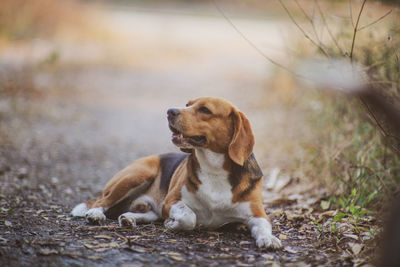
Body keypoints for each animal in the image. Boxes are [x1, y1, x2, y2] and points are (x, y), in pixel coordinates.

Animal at [72, 97, 282, 250]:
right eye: (188, 104)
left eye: (205, 110)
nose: (169, 111)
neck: (214, 168)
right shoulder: (171, 202)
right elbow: (189, 217)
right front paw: (172, 225)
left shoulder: (258, 214)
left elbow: (265, 225)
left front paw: (269, 239)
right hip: (138, 174)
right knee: (102, 201)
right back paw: (95, 214)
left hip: (147, 203)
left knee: (140, 213)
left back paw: (129, 218)